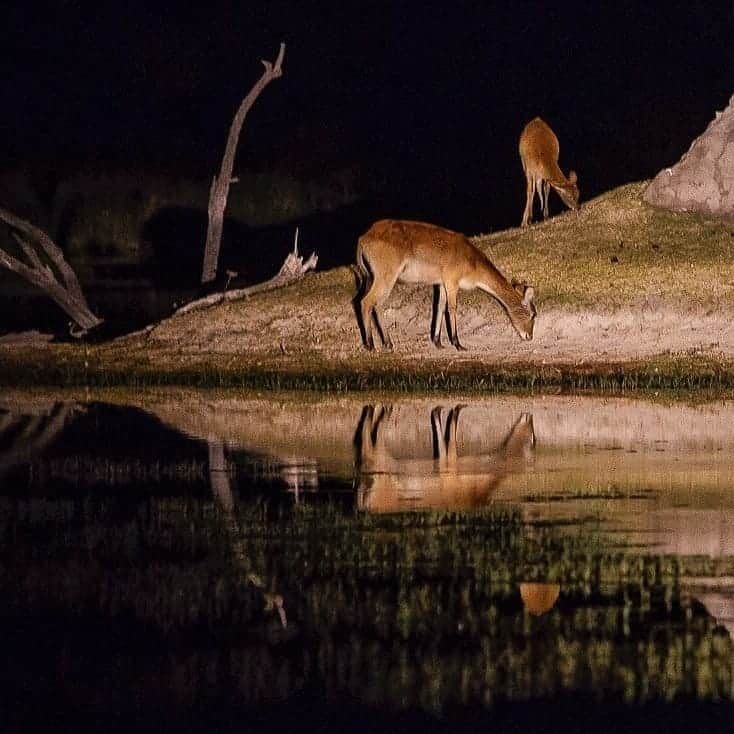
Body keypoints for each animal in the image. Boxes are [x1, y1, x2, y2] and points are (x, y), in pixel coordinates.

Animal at [354, 406, 536, 516]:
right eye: (533, 437)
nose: (530, 415)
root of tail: (366, 504)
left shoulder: (446, 463)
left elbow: (443, 440)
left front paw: (439, 411)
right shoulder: (451, 465)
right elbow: (450, 438)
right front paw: (454, 410)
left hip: (381, 463)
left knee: (368, 441)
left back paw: (375, 409)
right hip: (383, 461)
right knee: (373, 438)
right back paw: (382, 410)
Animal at [356, 220, 536, 352]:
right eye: (533, 314)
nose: (529, 336)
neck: (472, 262)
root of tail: (363, 238)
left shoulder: (442, 284)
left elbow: (439, 307)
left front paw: (438, 342)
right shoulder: (452, 282)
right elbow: (452, 308)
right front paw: (458, 344)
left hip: (377, 278)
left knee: (377, 304)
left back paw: (388, 343)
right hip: (386, 277)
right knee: (366, 302)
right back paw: (371, 345)